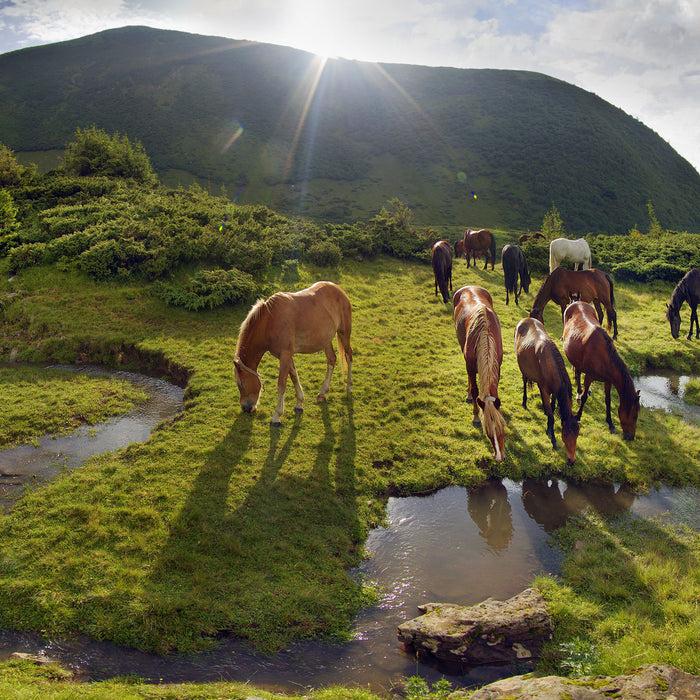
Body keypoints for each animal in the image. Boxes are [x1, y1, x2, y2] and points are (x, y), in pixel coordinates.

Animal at [234, 280, 352, 424]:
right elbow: (294, 376)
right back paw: (322, 393)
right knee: (332, 359)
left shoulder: (285, 355)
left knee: (349, 356)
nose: (245, 408)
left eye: (241, 384)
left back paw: (349, 387)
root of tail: (338, 289)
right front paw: (299, 404)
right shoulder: (286, 356)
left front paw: (276, 416)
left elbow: (281, 383)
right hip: (326, 340)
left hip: (344, 334)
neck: (270, 321)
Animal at [452, 284, 506, 460]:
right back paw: (469, 395)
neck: (485, 333)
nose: (499, 457)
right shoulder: (470, 365)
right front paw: (476, 416)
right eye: (488, 432)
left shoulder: (498, 366)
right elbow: (475, 390)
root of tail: (469, 287)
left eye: (502, 429)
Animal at [516, 318, 580, 464]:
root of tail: (526, 319)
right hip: (523, 371)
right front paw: (552, 437)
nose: (572, 461)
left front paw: (548, 421)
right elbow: (551, 417)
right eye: (565, 435)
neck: (550, 364)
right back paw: (524, 401)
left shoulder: (554, 390)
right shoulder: (546, 390)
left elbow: (552, 405)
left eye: (577, 435)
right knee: (524, 382)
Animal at [564, 300, 640, 440]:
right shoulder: (589, 376)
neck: (604, 357)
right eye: (634, 415)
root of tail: (576, 301)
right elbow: (584, 398)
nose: (631, 437)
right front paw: (578, 416)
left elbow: (608, 400)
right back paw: (578, 391)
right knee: (578, 373)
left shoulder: (608, 381)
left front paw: (610, 423)